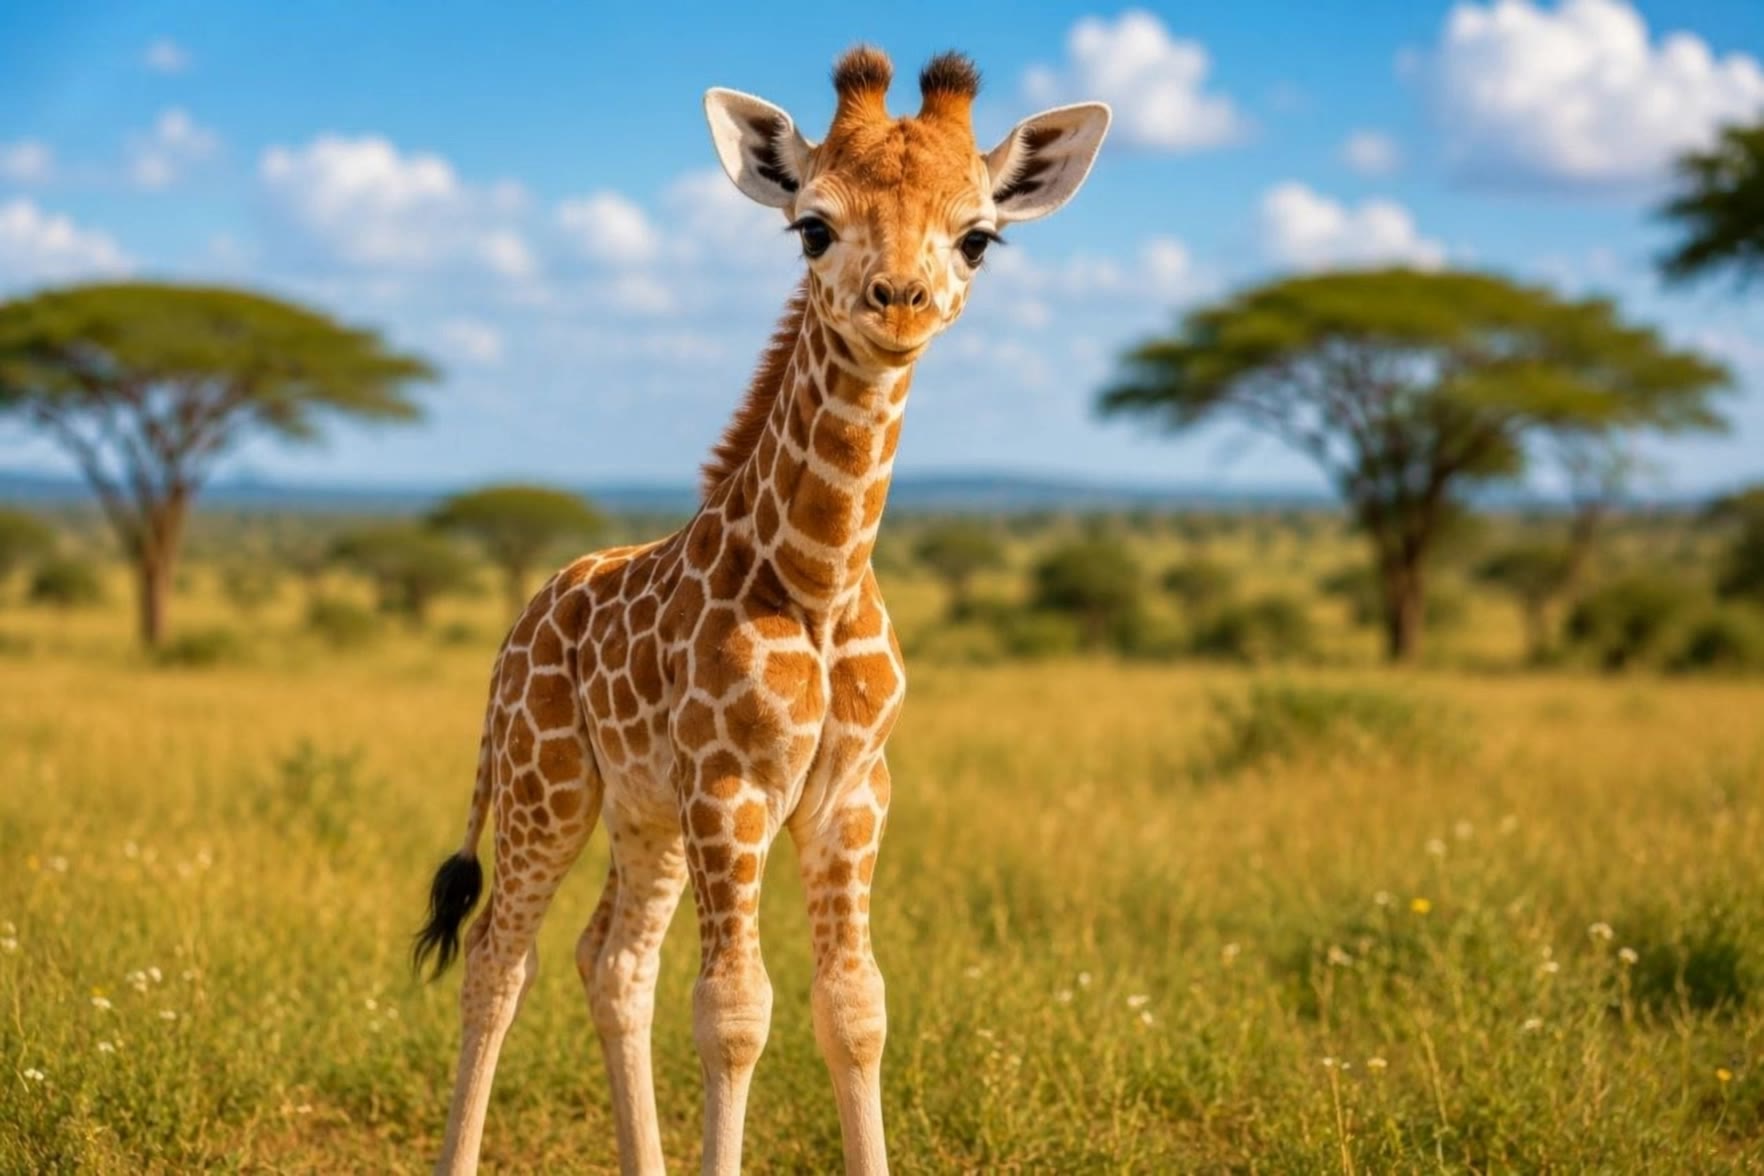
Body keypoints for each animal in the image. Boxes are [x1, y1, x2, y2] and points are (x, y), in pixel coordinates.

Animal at [413, 47, 1109, 1176]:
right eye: (812, 226)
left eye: (979, 235)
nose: (900, 301)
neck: (819, 580)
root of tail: (523, 619)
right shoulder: (730, 788)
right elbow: (734, 1012)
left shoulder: (852, 795)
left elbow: (855, 1008)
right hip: (542, 783)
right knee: (497, 958)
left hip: (642, 814)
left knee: (612, 960)